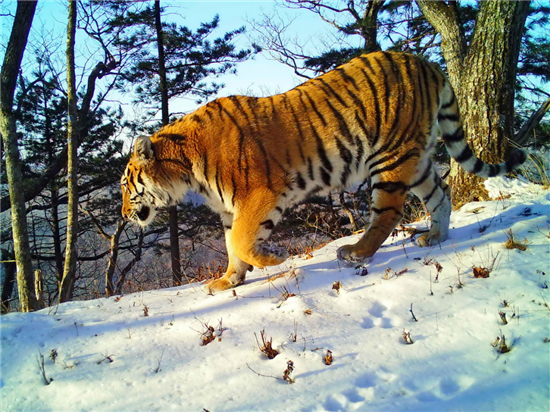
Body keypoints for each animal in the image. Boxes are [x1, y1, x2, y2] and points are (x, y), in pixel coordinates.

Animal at [121, 50, 528, 292]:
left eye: (126, 186)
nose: (124, 215)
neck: (186, 169)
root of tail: (425, 62)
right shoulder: (228, 209)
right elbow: (230, 246)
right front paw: (228, 281)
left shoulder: (259, 195)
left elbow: (240, 241)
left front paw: (276, 259)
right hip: (416, 158)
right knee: (441, 194)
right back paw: (436, 237)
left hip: (389, 158)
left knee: (388, 213)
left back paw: (356, 252)